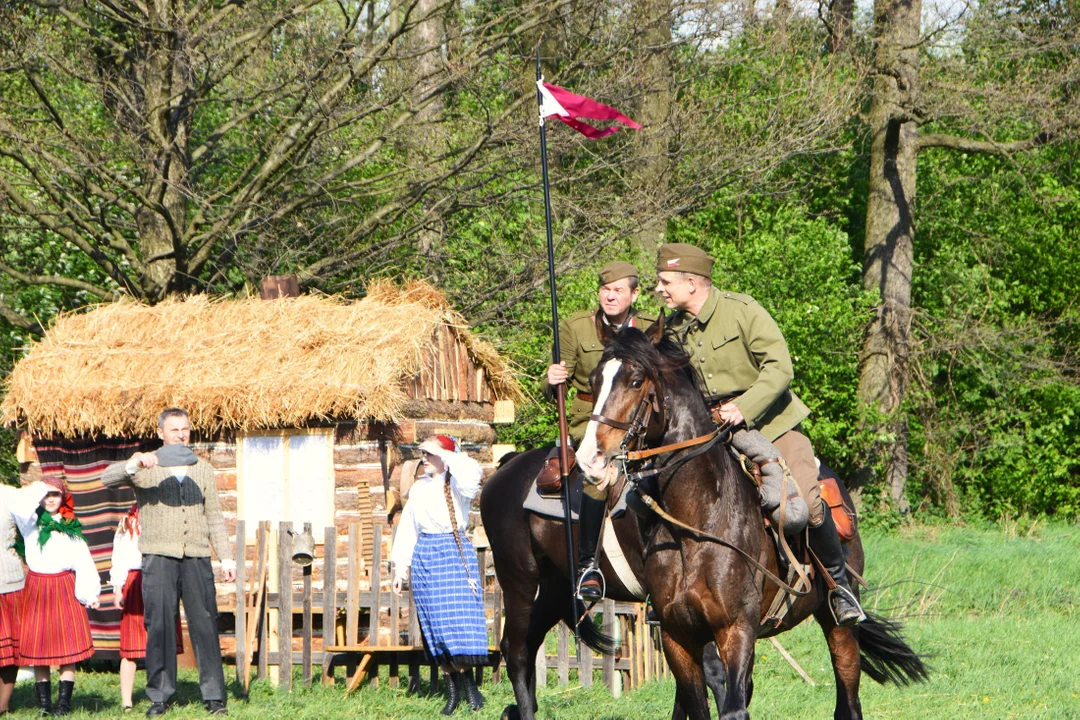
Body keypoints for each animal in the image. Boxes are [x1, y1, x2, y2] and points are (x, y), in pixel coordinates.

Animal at [481, 317, 928, 716]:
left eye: (636, 380)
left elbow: (730, 702)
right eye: (594, 380)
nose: (591, 458)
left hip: (837, 625)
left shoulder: (735, 631)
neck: (699, 522)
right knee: (518, 652)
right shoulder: (679, 634)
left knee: (847, 696)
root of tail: (504, 468)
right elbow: (699, 701)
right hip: (526, 583)